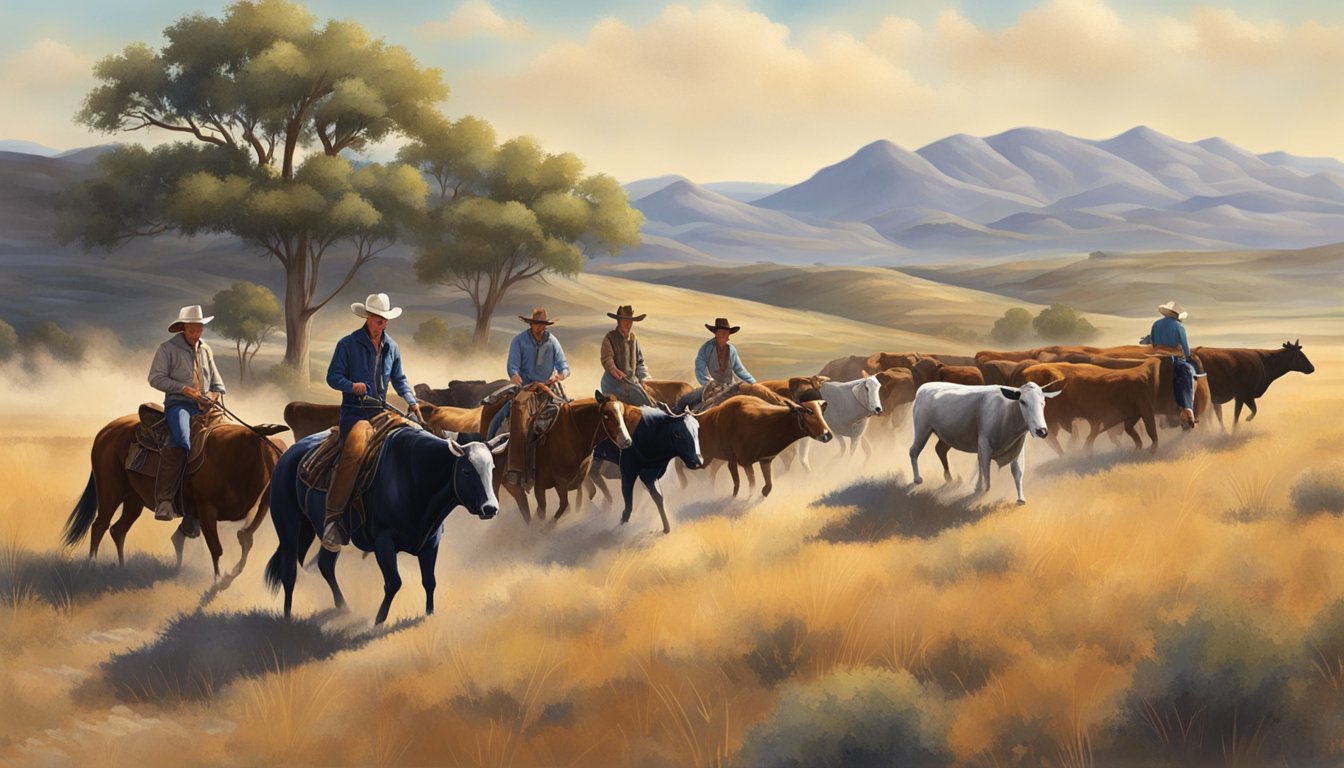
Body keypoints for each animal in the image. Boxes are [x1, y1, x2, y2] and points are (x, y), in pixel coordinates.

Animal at [61, 414, 287, 583]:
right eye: (276, 453)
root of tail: (105, 431)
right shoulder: (207, 510)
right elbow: (216, 546)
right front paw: (218, 580)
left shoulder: (257, 508)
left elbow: (245, 538)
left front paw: (230, 575)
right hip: (110, 490)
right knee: (100, 525)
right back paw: (92, 566)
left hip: (134, 500)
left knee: (118, 530)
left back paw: (122, 568)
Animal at [264, 427, 505, 624]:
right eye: (466, 471)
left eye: (492, 467)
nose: (490, 508)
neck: (413, 479)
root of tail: (289, 456)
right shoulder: (383, 542)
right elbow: (394, 582)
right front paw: (379, 620)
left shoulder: (431, 542)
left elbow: (429, 581)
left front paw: (429, 614)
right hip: (288, 524)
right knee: (289, 572)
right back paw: (287, 617)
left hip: (321, 531)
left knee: (325, 564)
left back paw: (343, 607)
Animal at [682, 395, 827, 497]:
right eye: (809, 411)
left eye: (821, 412)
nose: (827, 435)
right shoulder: (745, 462)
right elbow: (751, 484)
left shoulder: (765, 460)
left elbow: (767, 486)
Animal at [908, 381, 1064, 505]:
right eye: (1023, 402)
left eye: (1043, 403)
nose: (1041, 431)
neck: (1007, 412)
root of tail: (924, 387)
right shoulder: (984, 444)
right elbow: (986, 471)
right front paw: (984, 493)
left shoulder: (1017, 447)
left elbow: (1017, 471)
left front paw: (1021, 498)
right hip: (923, 428)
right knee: (914, 450)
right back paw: (917, 479)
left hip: (945, 434)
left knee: (940, 449)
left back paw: (949, 478)